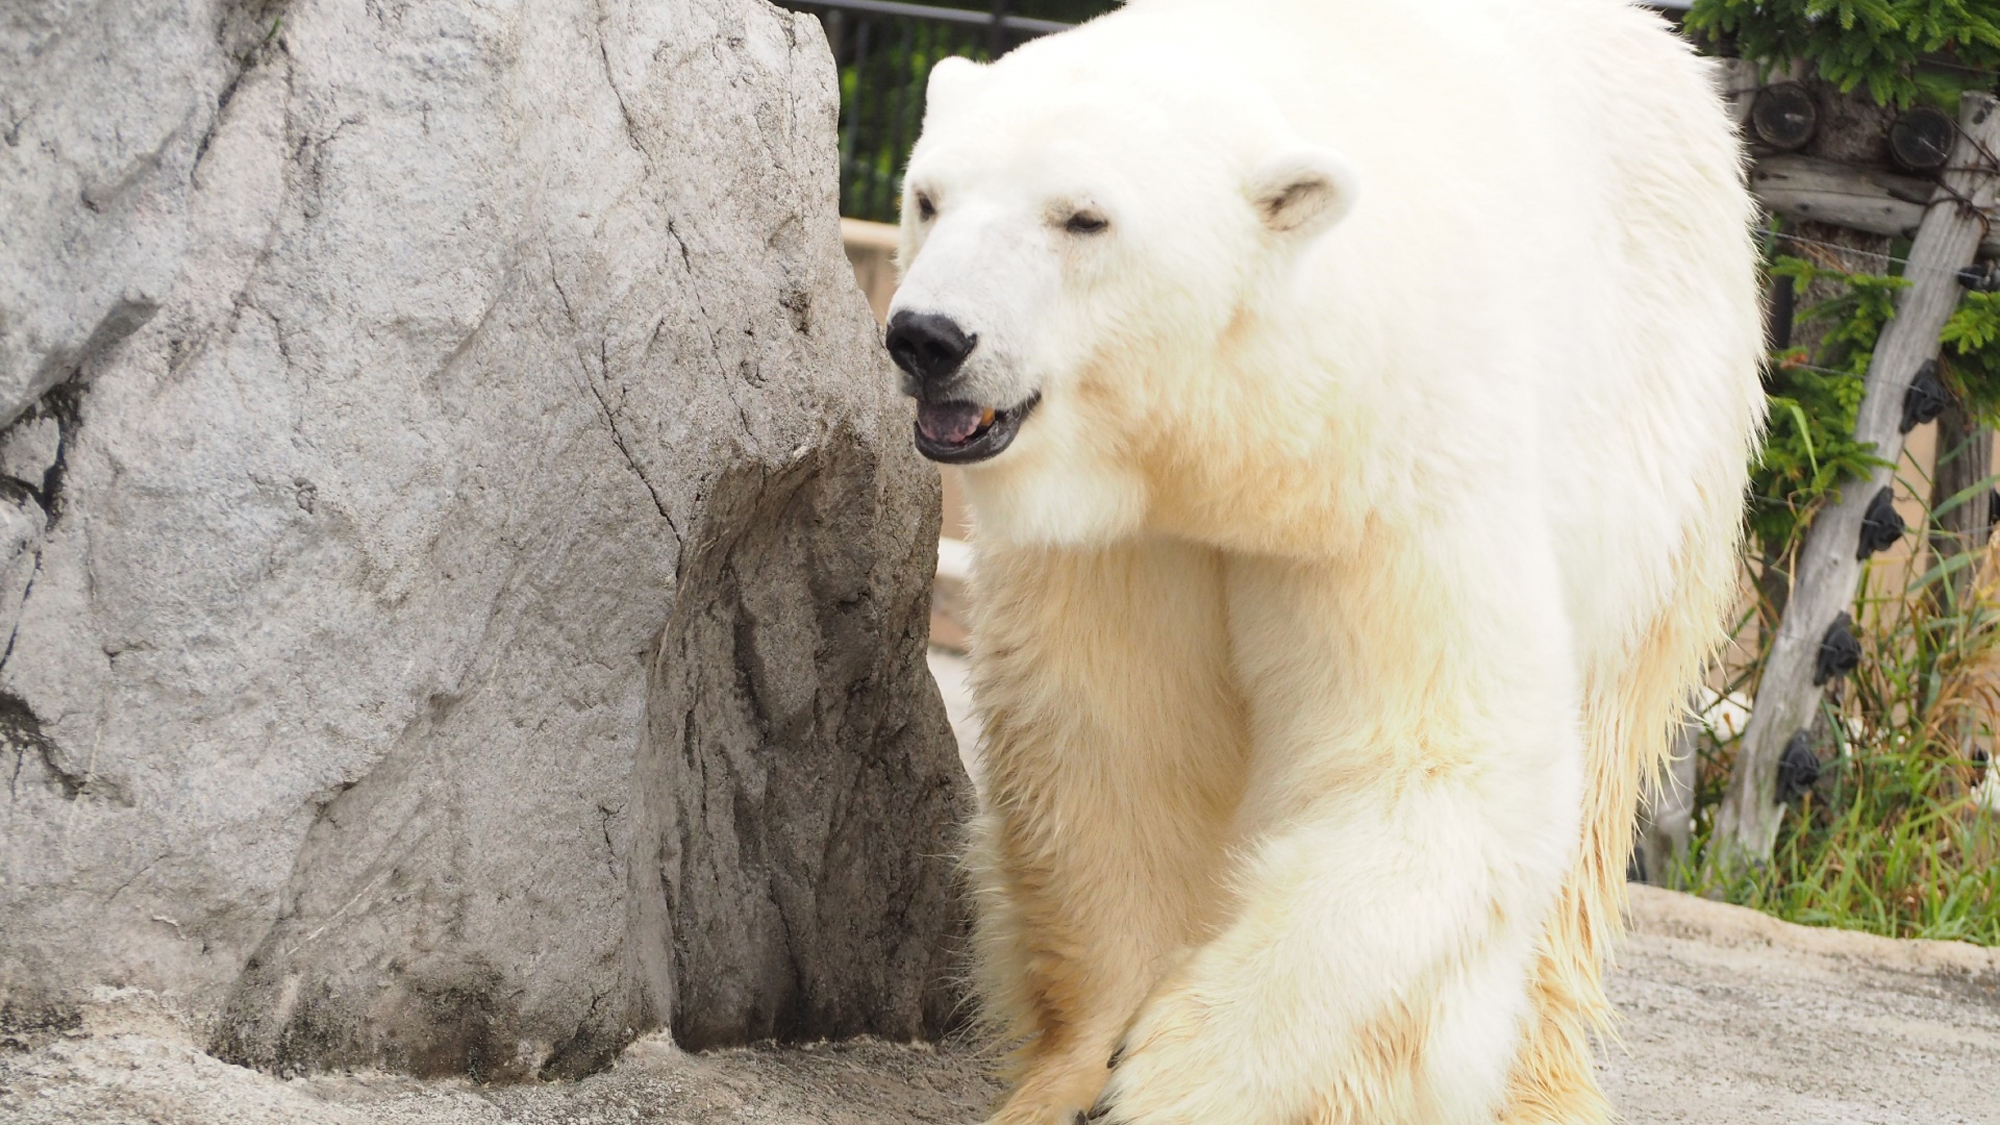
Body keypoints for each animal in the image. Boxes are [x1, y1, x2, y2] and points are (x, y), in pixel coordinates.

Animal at [884, 2, 1760, 1120]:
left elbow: (1426, 764)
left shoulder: (1400, 472)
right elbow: (1111, 743)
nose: (929, 336)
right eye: (928, 196)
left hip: (1663, 450)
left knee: (1596, 775)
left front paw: (1172, 1078)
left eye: (1083, 219)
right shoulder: (1128, 533)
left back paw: (1540, 1087)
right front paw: (1073, 1070)